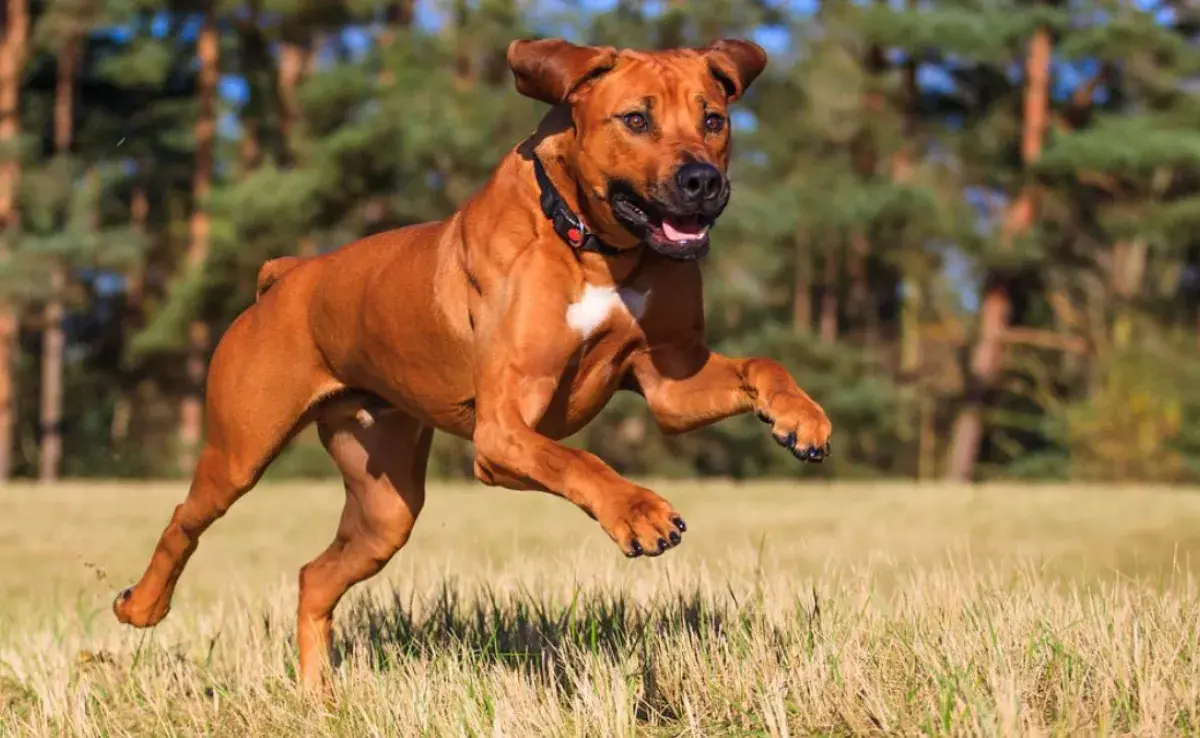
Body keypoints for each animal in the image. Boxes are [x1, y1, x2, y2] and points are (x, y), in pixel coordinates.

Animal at [112, 37, 830, 691]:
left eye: (714, 119)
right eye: (635, 119)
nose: (702, 181)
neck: (594, 244)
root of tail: (287, 276)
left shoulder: (668, 382)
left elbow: (760, 364)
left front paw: (800, 418)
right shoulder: (503, 433)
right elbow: (578, 459)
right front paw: (637, 510)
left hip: (385, 507)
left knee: (315, 578)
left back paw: (318, 697)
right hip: (240, 448)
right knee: (184, 521)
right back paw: (142, 605)